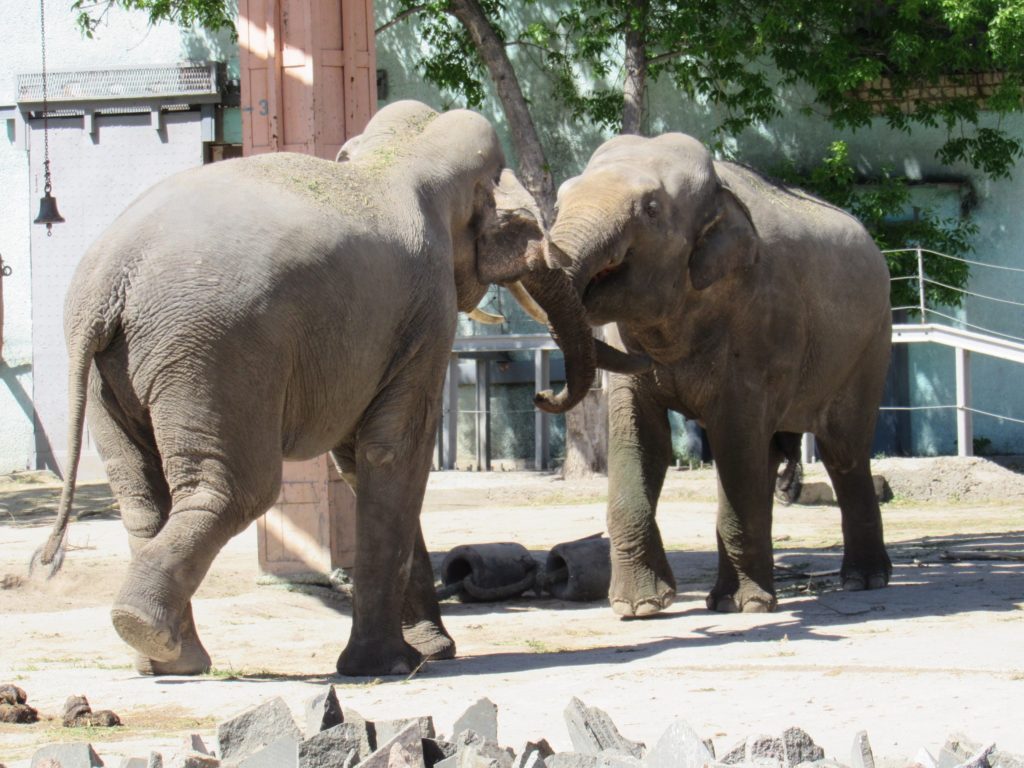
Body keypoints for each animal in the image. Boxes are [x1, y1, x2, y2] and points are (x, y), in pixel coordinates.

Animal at [36, 100, 643, 679]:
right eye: (521, 225)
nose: (541, 397)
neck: (400, 156)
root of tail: (111, 279)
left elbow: (360, 463)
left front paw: (428, 652)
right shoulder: (427, 311)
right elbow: (394, 453)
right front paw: (394, 665)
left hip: (118, 366)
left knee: (142, 494)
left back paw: (168, 657)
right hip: (215, 352)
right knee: (238, 489)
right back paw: (150, 633)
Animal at [548, 132, 892, 618]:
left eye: (651, 209)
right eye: (557, 203)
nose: (543, 395)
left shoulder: (761, 325)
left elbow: (734, 437)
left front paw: (744, 606)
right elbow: (642, 440)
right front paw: (640, 607)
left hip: (870, 344)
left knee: (842, 450)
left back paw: (863, 580)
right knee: (770, 453)